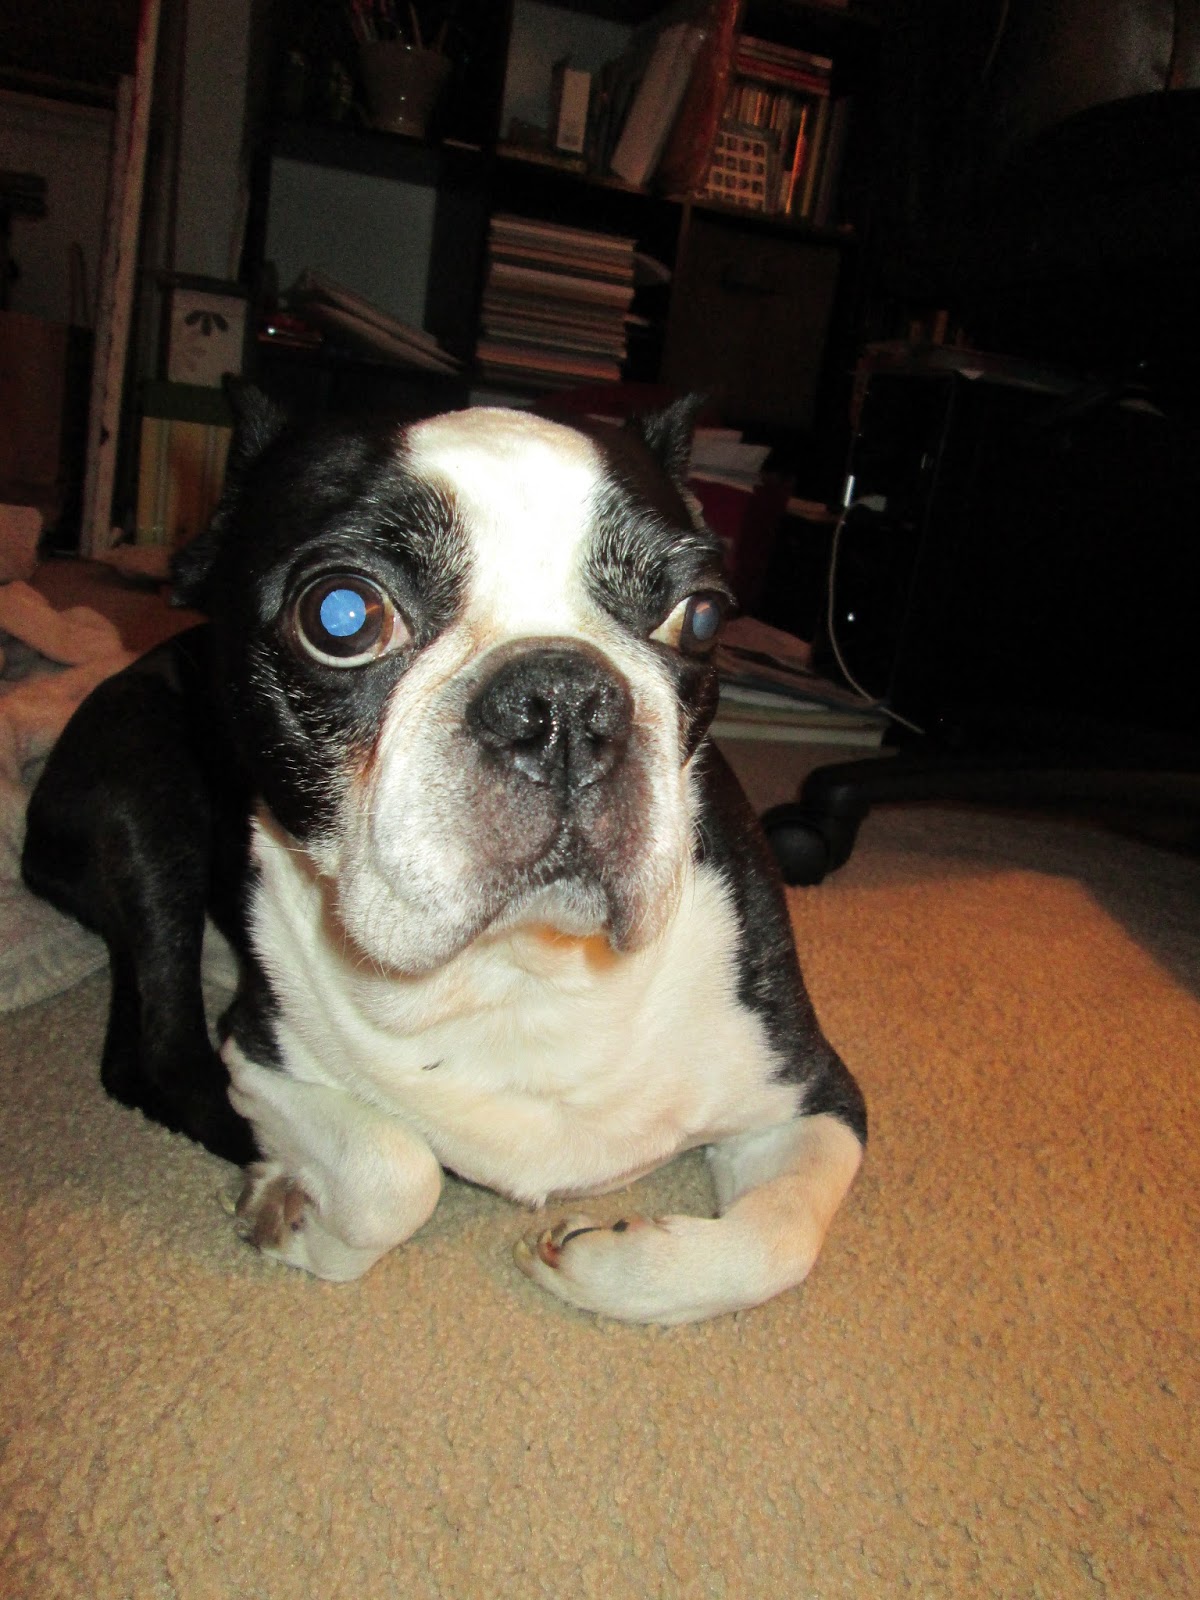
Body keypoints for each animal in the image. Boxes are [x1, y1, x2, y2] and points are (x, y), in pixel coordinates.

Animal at [22, 390, 865, 1324]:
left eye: (704, 616)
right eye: (341, 616)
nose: (562, 700)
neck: (519, 972)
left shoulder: (814, 1092)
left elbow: (777, 1241)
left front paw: (607, 1267)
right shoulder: (262, 1052)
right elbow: (398, 1173)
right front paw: (298, 1215)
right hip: (148, 804)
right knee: (157, 1053)